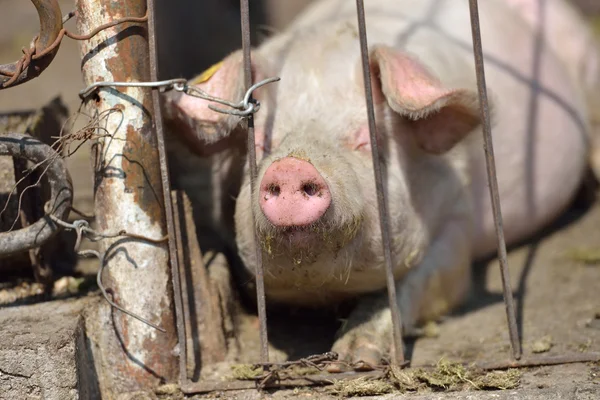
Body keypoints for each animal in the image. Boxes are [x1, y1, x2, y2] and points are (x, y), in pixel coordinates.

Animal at [163, 0, 596, 368]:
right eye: (260, 144)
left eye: (368, 138)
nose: (289, 168)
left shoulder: (458, 223)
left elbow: (421, 282)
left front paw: (354, 359)